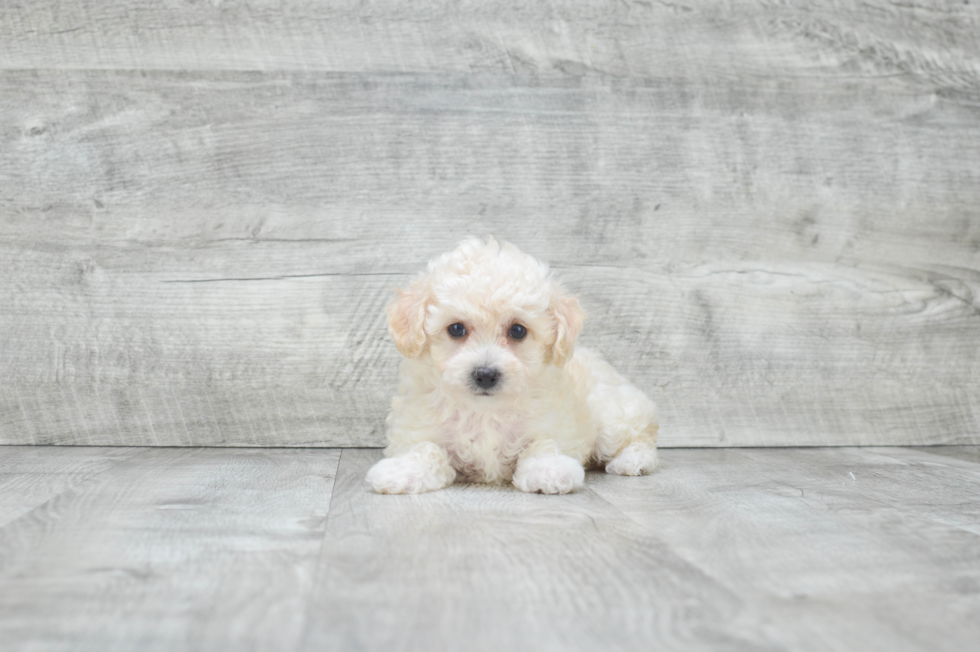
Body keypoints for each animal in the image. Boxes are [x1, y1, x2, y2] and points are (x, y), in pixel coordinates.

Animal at [368, 237, 660, 496]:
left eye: (518, 330)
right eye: (456, 329)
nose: (485, 375)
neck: (484, 411)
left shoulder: (552, 424)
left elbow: (542, 445)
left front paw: (548, 470)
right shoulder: (417, 427)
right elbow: (425, 449)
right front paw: (403, 471)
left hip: (610, 415)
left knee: (643, 436)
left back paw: (633, 461)